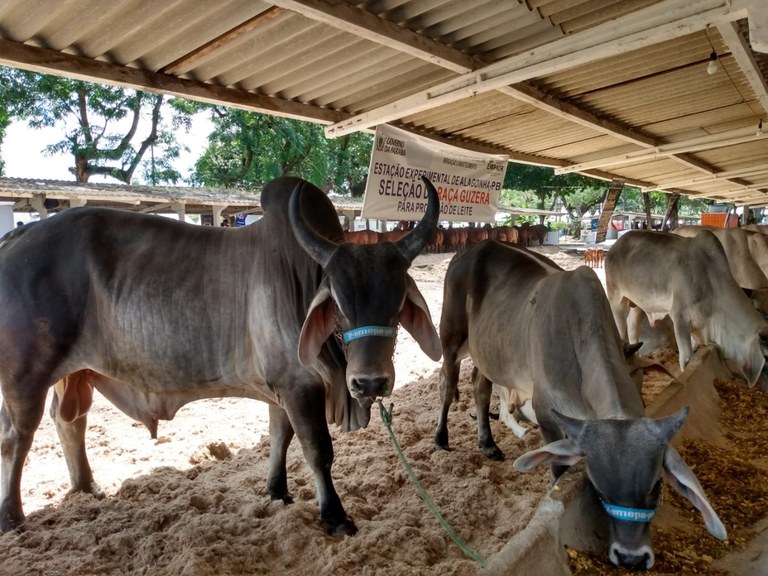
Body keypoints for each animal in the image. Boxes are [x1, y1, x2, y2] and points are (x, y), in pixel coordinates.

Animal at [0, 177, 440, 536]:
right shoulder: (299, 386)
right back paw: (12, 517)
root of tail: (19, 233)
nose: (369, 382)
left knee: (69, 421)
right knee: (16, 438)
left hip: (74, 373)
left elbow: (279, 437)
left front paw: (277, 492)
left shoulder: (280, 389)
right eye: (338, 306)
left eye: (397, 303)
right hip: (25, 376)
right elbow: (318, 450)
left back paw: (87, 487)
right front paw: (334, 516)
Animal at [436, 240, 724, 572]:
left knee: (480, 387)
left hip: (488, 353)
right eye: (598, 489)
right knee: (448, 384)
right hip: (451, 337)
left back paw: (488, 444)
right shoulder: (545, 409)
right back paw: (441, 438)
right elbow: (558, 467)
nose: (632, 557)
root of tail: (475, 246)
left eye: (656, 486)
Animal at [608, 230, 768, 388]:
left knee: (632, 324)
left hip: (640, 304)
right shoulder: (680, 318)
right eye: (766, 356)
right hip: (616, 299)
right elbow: (685, 358)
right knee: (620, 328)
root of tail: (615, 246)